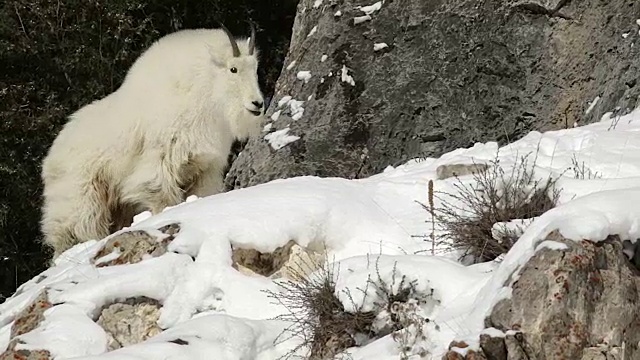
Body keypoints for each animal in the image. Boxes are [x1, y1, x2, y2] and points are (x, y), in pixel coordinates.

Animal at [40, 22, 264, 260]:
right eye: (233, 69)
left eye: (255, 68)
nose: (257, 104)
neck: (205, 98)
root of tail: (50, 160)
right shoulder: (160, 163)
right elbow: (162, 196)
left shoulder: (206, 168)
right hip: (81, 200)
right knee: (75, 232)